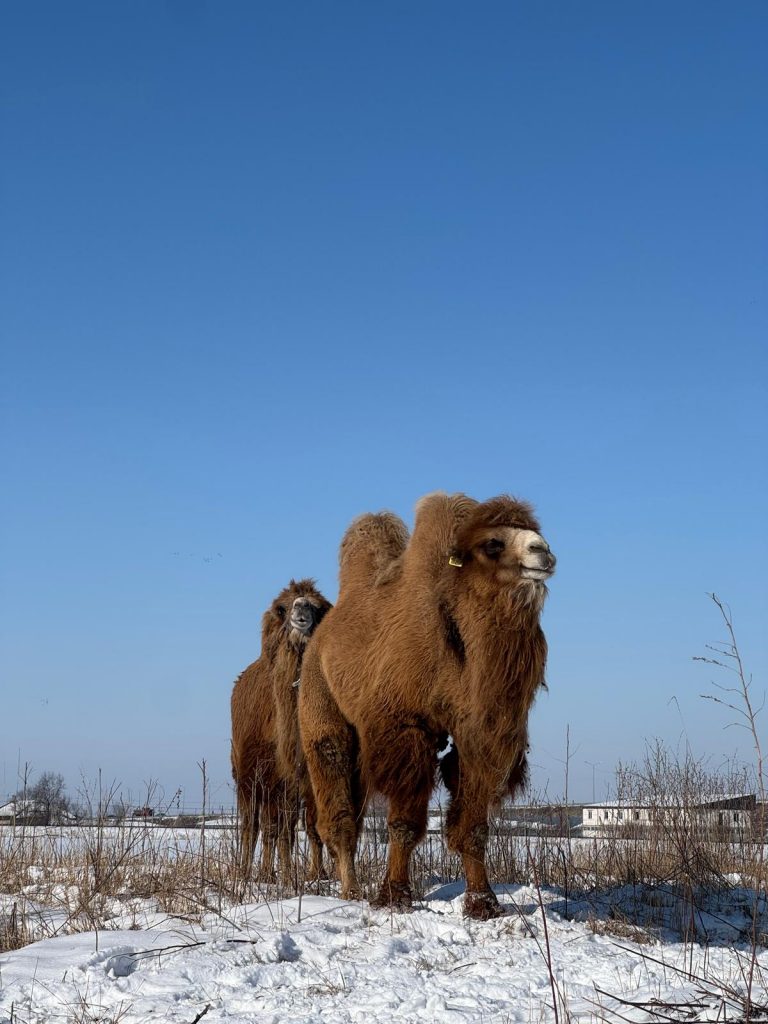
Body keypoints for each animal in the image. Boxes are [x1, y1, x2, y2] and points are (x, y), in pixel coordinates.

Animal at [231, 581, 333, 884]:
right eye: (283, 607)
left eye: (317, 606)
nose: (301, 611)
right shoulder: (273, 776)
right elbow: (278, 829)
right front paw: (284, 876)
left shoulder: (305, 778)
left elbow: (309, 826)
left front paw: (316, 874)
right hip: (246, 777)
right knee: (252, 825)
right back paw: (247, 871)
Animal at [296, 491, 557, 917]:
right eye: (492, 543)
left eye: (535, 534)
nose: (544, 552)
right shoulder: (405, 727)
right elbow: (403, 822)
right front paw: (393, 896)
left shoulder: (477, 733)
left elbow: (474, 824)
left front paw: (484, 903)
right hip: (320, 703)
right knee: (337, 797)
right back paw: (351, 890)